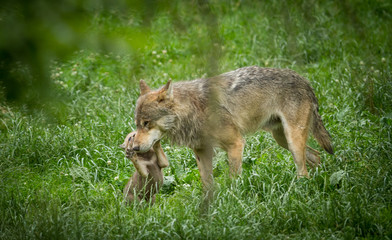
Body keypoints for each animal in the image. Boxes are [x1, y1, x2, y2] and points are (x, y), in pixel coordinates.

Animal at [131, 65, 330, 195]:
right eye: (137, 124)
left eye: (147, 123)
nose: (134, 148)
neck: (193, 109)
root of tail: (305, 81)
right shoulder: (202, 151)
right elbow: (206, 182)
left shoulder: (236, 144)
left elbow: (234, 178)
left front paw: (233, 199)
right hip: (282, 140)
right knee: (316, 156)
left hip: (292, 140)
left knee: (303, 169)